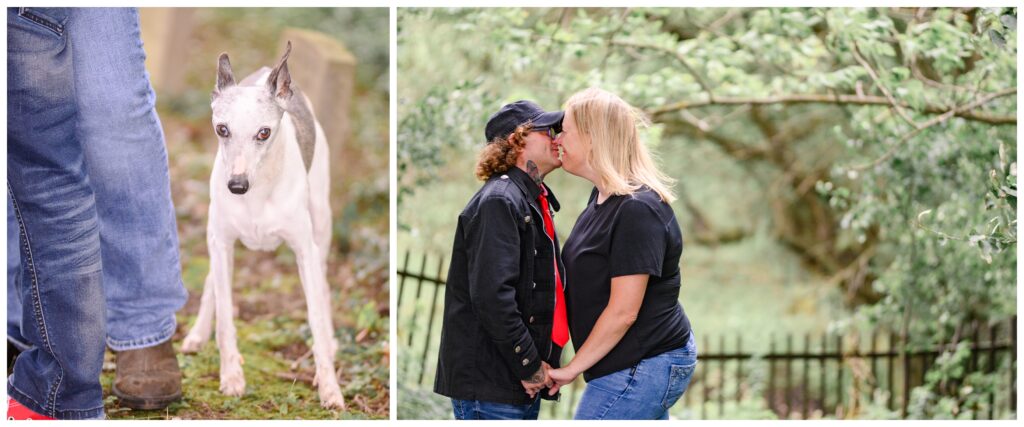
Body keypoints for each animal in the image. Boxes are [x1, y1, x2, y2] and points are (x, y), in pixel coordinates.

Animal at [182, 43, 346, 409]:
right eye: (222, 129)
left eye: (264, 132)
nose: (236, 185)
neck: (259, 192)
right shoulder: (221, 242)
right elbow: (225, 317)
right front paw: (231, 376)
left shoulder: (304, 250)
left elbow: (315, 316)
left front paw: (330, 386)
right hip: (217, 238)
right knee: (213, 284)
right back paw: (197, 334)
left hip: (321, 224)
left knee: (325, 284)